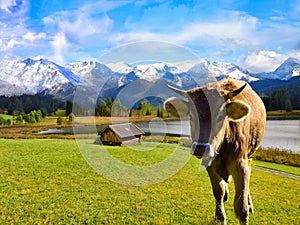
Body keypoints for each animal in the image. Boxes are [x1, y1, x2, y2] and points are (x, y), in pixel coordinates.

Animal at [164, 78, 264, 225]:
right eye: (191, 116)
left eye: (220, 116)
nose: (200, 147)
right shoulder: (209, 163)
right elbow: (218, 192)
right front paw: (220, 218)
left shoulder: (241, 163)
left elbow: (241, 206)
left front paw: (245, 206)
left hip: (251, 153)